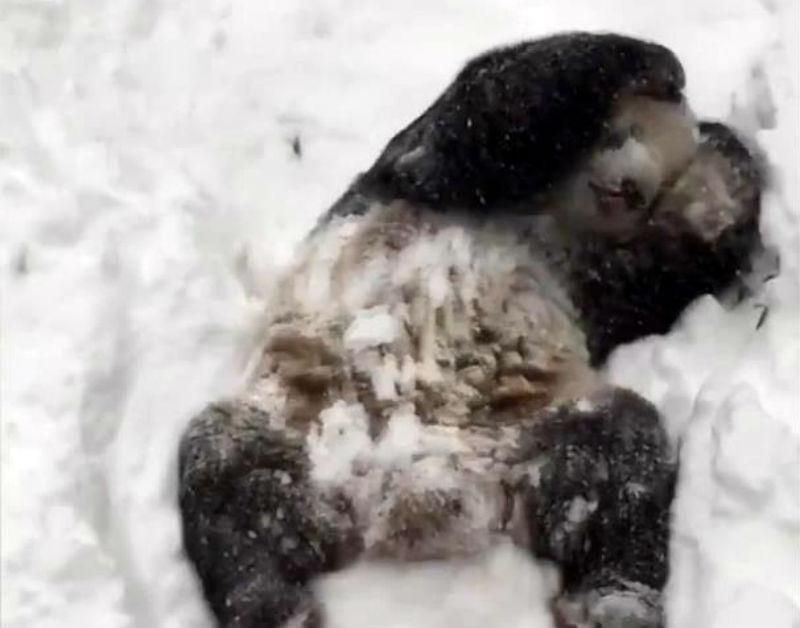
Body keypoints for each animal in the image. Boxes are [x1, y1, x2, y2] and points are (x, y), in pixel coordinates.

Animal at [178, 31, 764, 628]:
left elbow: (657, 272)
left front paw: (723, 170)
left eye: (656, 184)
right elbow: (494, 109)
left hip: (541, 433)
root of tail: (416, 495)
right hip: (299, 423)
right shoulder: (426, 167)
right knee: (226, 477)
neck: (556, 213)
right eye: (625, 134)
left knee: (624, 462)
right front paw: (665, 71)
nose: (627, 186)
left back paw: (613, 603)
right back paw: (271, 602)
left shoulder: (592, 279)